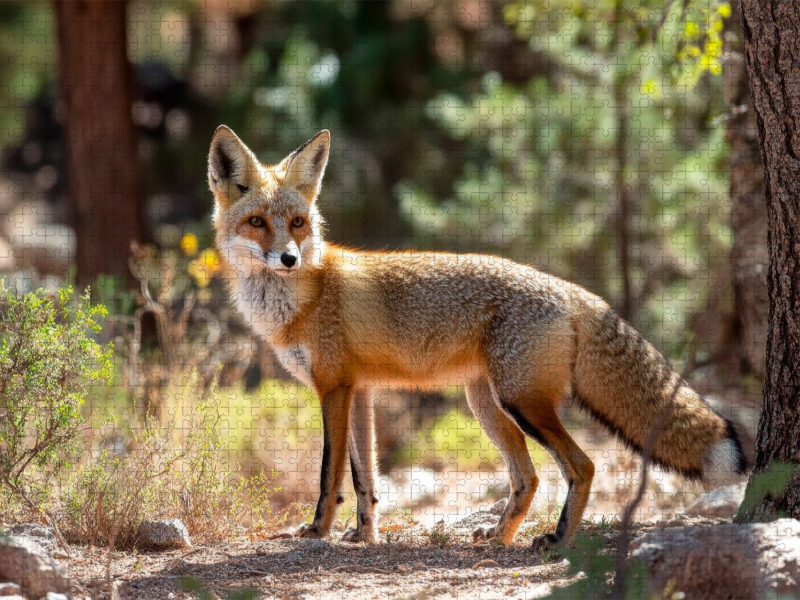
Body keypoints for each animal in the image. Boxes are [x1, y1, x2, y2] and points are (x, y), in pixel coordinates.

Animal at [207, 125, 749, 549]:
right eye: (257, 222)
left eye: (297, 223)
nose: (288, 259)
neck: (303, 297)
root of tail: (572, 290)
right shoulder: (357, 391)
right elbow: (366, 478)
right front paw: (364, 535)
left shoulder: (333, 388)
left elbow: (329, 473)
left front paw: (318, 531)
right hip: (487, 405)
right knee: (528, 477)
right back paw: (500, 537)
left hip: (521, 403)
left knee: (582, 465)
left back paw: (557, 540)